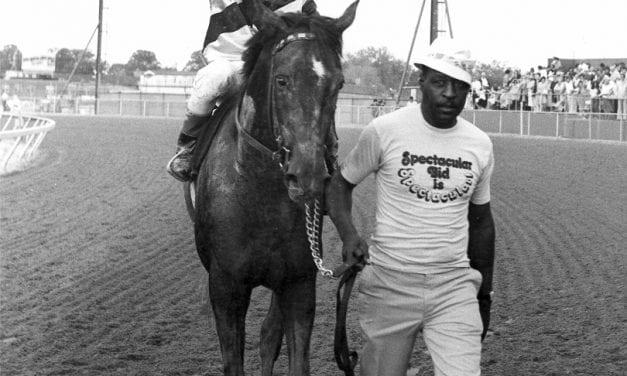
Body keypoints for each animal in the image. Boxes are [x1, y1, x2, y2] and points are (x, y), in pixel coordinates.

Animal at [189, 1, 358, 374]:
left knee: (268, 337)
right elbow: (233, 361)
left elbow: (291, 355)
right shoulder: (226, 287)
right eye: (282, 79)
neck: (261, 196)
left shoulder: (299, 282)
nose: (308, 175)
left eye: (338, 83)